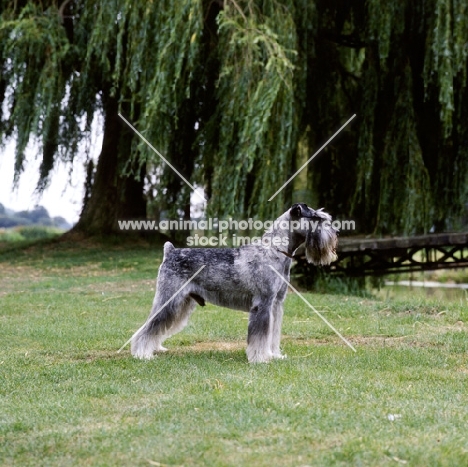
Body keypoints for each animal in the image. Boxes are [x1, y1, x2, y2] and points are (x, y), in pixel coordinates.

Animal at [130, 203, 338, 364]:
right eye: (317, 218)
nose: (336, 232)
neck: (275, 250)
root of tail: (170, 251)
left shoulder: (276, 305)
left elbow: (273, 333)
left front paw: (274, 355)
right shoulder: (263, 304)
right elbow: (260, 335)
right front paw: (260, 358)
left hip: (182, 303)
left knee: (157, 326)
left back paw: (154, 348)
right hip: (170, 299)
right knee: (149, 326)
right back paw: (142, 354)